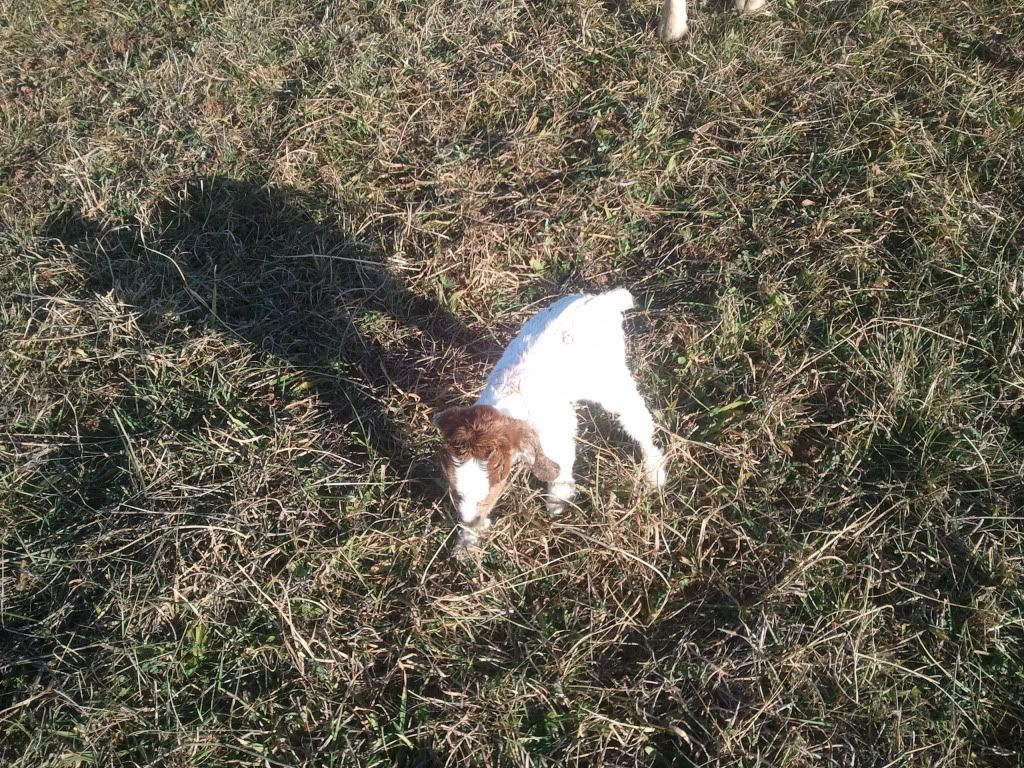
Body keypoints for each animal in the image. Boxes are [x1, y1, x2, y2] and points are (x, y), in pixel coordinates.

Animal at [434, 288, 667, 548]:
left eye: (500, 473)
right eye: (453, 487)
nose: (470, 519)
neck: (510, 398)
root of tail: (603, 299)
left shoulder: (555, 433)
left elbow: (561, 465)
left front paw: (557, 504)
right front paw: (466, 543)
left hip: (609, 378)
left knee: (635, 416)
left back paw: (654, 473)